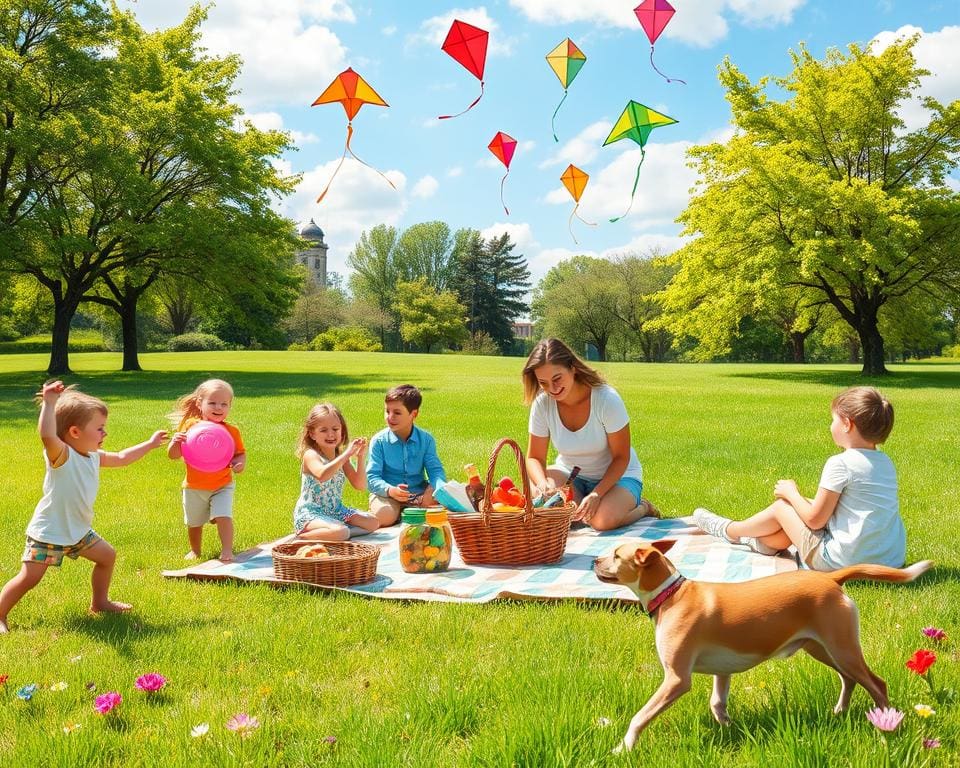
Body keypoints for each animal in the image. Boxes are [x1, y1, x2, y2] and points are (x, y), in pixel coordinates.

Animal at [592, 540, 928, 752]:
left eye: (616, 555)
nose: (594, 559)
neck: (672, 595)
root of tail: (832, 578)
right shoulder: (722, 671)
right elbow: (718, 703)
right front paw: (729, 728)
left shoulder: (676, 679)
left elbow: (640, 716)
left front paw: (623, 747)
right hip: (823, 648)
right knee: (849, 679)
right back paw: (839, 711)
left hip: (842, 648)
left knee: (876, 683)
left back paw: (887, 728)